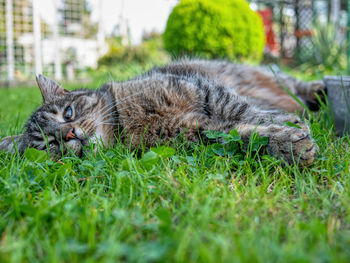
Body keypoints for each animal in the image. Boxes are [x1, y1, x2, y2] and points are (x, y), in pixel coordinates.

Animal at [0, 60, 326, 166]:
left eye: (67, 113)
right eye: (48, 145)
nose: (68, 134)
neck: (126, 124)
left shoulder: (202, 89)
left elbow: (242, 110)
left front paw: (283, 124)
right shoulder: (196, 133)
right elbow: (239, 136)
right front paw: (284, 145)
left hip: (269, 76)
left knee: (295, 84)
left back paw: (318, 90)